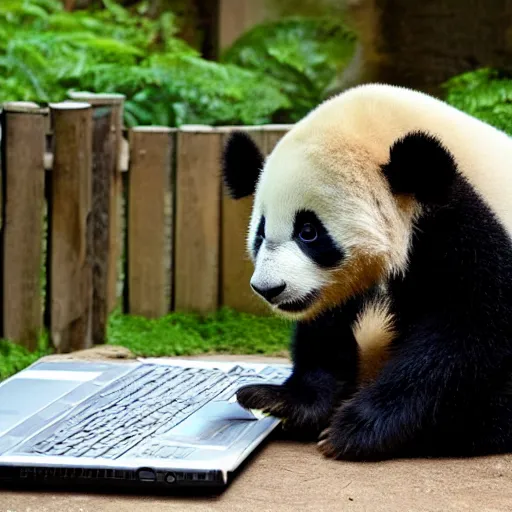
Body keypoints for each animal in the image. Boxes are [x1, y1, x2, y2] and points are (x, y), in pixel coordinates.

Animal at [221, 83, 512, 460]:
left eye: (308, 231)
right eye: (260, 231)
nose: (269, 288)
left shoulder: (471, 235)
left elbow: (465, 334)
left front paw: (355, 429)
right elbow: (326, 329)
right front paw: (282, 401)